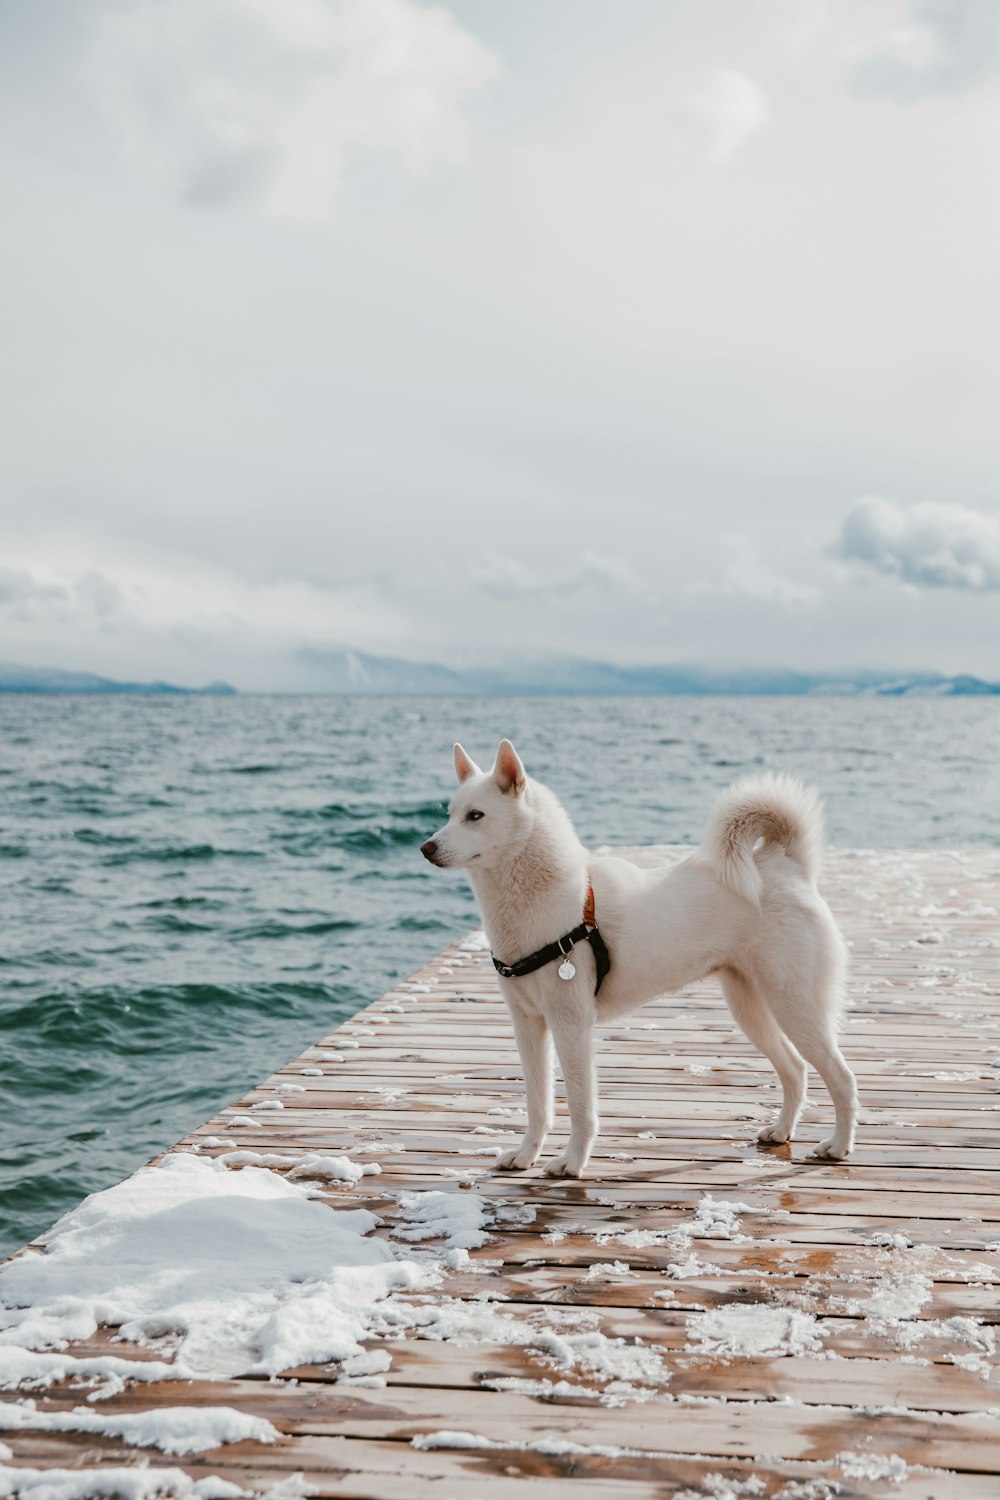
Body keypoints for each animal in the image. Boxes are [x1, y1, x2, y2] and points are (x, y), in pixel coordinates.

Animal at [422, 744, 863, 1176]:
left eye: (475, 816)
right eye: (450, 815)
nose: (426, 848)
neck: (545, 898)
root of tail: (785, 864)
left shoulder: (571, 1025)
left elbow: (581, 1107)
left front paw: (571, 1162)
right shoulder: (527, 1025)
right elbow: (537, 1104)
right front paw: (525, 1155)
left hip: (795, 1007)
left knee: (842, 1077)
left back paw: (838, 1146)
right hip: (750, 1009)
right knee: (795, 1069)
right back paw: (782, 1131)